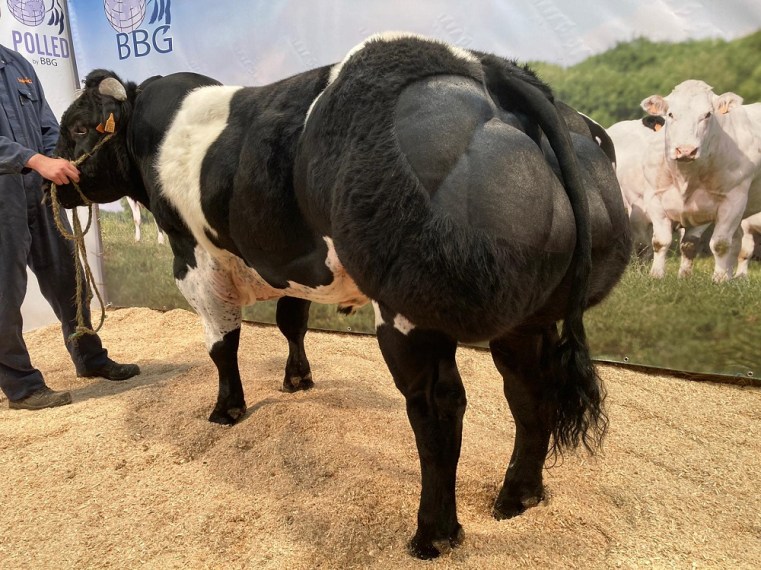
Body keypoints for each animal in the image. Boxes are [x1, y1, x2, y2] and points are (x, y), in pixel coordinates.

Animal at [50, 33, 628, 556]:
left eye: (76, 128)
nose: (53, 180)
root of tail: (481, 65)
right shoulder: (295, 261)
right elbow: (291, 320)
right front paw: (297, 380)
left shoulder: (194, 259)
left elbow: (222, 345)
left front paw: (226, 410)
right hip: (526, 317)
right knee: (528, 390)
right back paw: (518, 496)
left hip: (410, 310)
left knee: (438, 406)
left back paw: (433, 535)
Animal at [640, 81, 760, 280]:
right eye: (670, 114)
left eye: (707, 114)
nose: (686, 150)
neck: (686, 176)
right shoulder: (654, 197)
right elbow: (662, 241)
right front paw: (658, 275)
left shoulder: (734, 200)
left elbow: (720, 244)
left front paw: (719, 279)